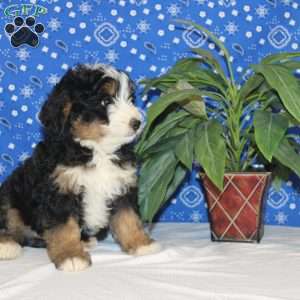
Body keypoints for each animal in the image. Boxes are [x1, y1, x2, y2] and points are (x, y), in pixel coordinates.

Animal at [0, 63, 159, 272]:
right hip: (10, 194)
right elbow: (65, 228)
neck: (98, 150)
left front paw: (140, 243)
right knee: (9, 220)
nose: (137, 122)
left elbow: (128, 218)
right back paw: (7, 245)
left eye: (131, 99)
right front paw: (71, 256)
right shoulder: (59, 191)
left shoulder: (122, 186)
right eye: (104, 101)